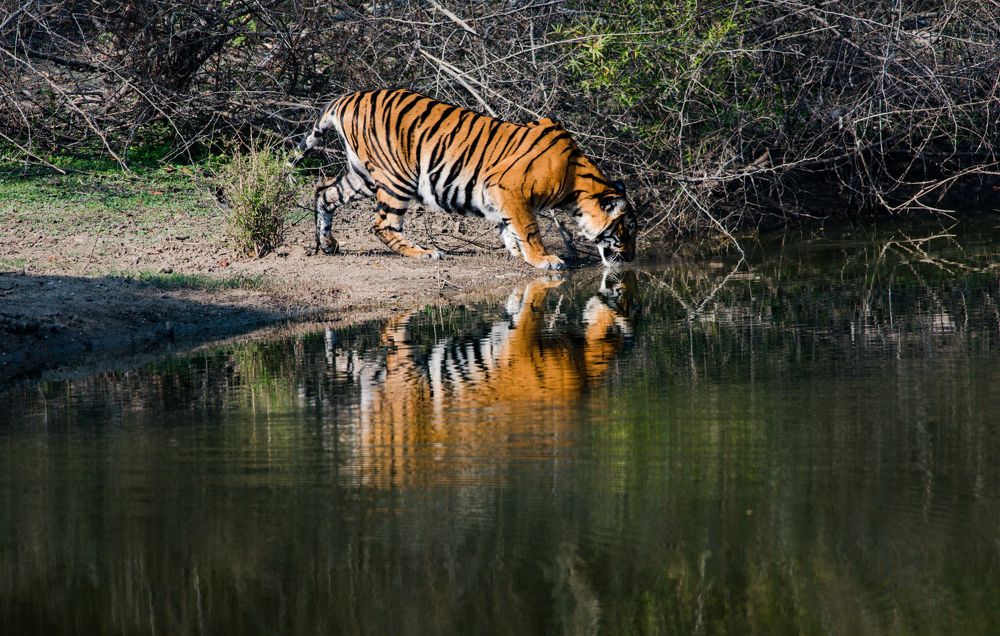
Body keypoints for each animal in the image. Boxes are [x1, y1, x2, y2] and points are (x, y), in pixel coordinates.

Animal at [286, 88, 638, 269]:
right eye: (629, 229)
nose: (632, 258)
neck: (576, 184)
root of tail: (347, 98)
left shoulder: (497, 195)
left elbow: (509, 227)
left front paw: (516, 251)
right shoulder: (509, 188)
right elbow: (529, 227)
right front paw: (544, 259)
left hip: (363, 175)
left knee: (324, 193)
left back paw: (328, 244)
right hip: (396, 177)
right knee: (383, 224)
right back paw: (425, 253)